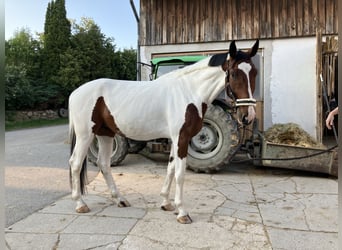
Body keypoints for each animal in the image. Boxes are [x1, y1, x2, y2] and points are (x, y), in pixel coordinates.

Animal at [68, 40, 258, 224]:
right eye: (234, 74)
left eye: (254, 73)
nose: (248, 115)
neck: (188, 92)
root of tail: (75, 92)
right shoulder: (182, 139)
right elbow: (180, 174)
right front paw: (182, 212)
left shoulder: (177, 140)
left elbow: (171, 169)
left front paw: (166, 203)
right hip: (86, 135)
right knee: (75, 163)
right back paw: (80, 204)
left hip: (105, 134)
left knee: (103, 164)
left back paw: (119, 199)